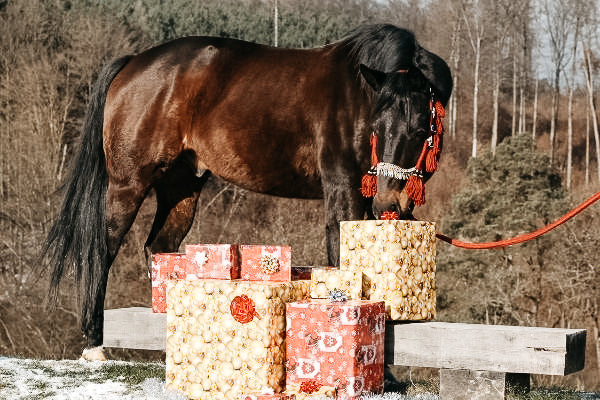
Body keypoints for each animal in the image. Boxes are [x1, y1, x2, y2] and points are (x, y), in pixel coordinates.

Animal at [42, 23, 450, 358]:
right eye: (377, 126)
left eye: (420, 129)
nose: (387, 201)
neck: (356, 93)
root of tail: (133, 63)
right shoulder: (343, 190)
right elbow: (340, 258)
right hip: (128, 184)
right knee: (102, 250)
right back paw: (94, 343)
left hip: (181, 188)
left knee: (159, 249)